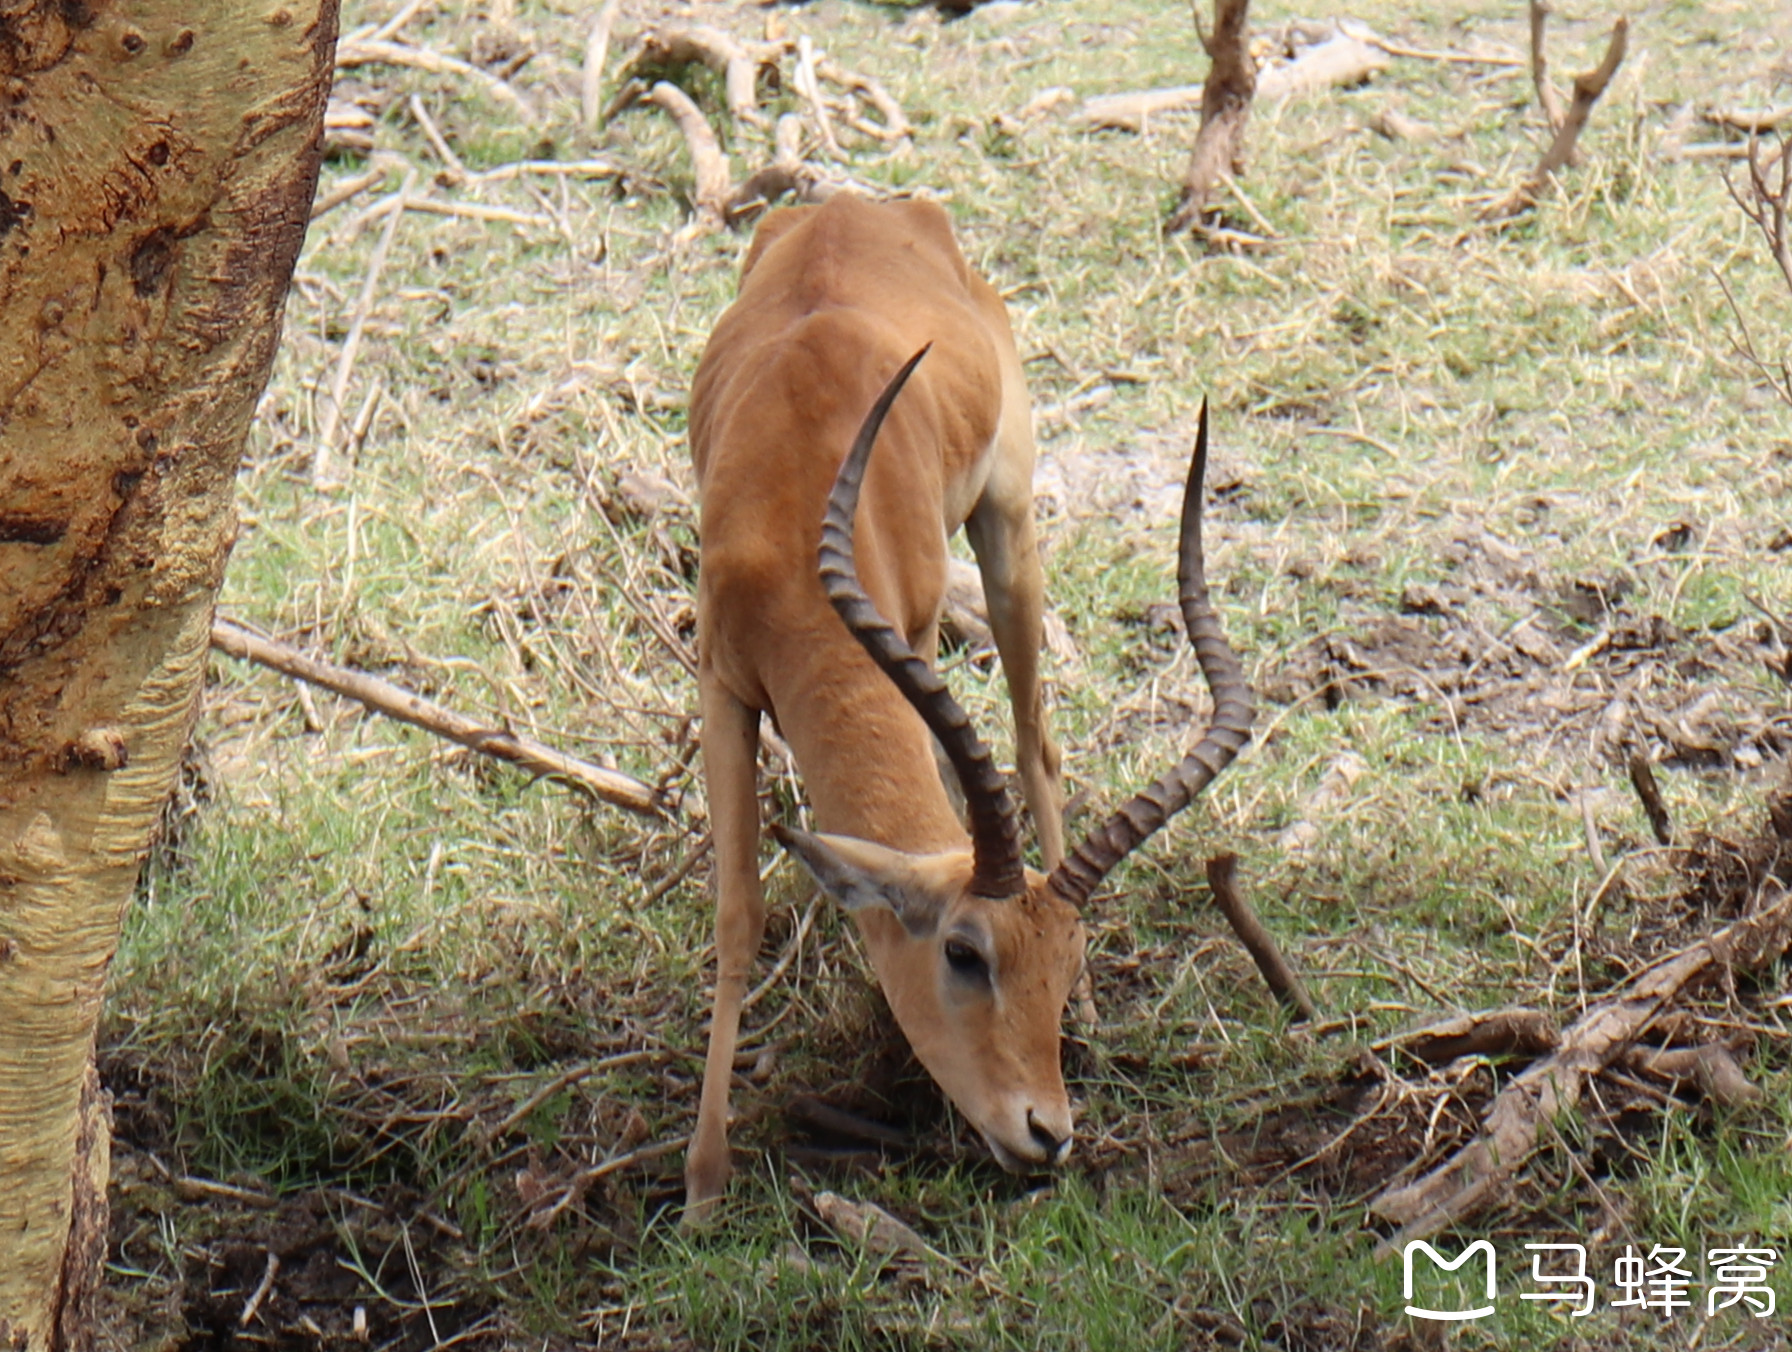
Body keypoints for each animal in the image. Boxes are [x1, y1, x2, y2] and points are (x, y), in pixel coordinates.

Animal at [677, 194, 1254, 1219]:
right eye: (962, 954)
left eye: (1064, 959)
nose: (1047, 1131)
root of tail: (864, 205)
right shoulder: (722, 679)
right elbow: (738, 913)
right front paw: (705, 1185)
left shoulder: (904, 625)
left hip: (1008, 523)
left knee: (1033, 741)